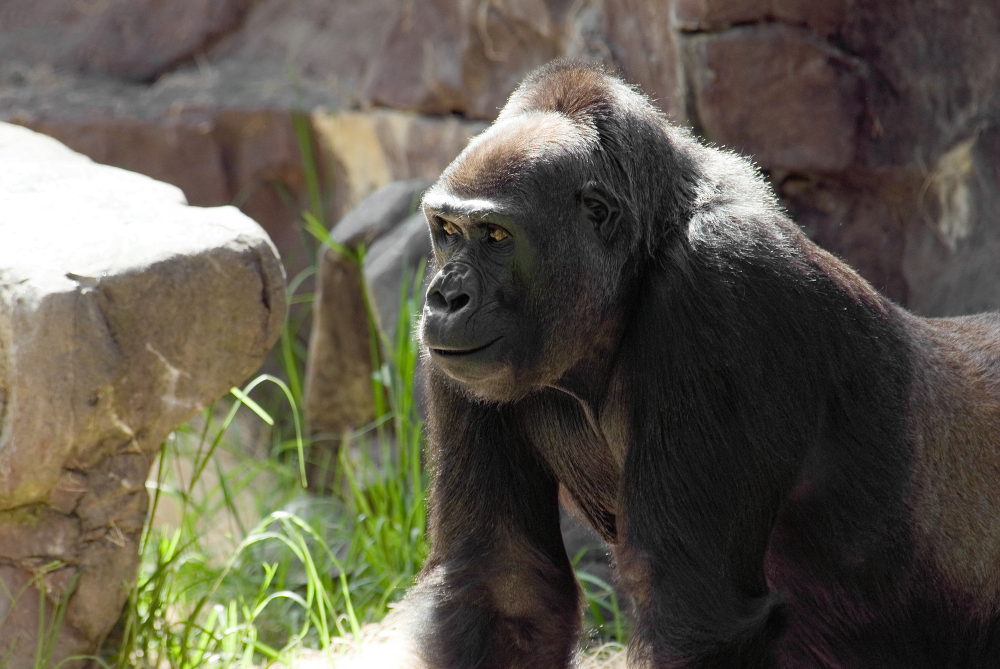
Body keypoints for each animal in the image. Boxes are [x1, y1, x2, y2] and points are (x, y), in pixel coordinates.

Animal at [404, 60, 1000, 664]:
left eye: (496, 236)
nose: (445, 297)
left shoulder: (720, 287)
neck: (639, 268)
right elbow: (503, 584)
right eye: (447, 231)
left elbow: (693, 610)